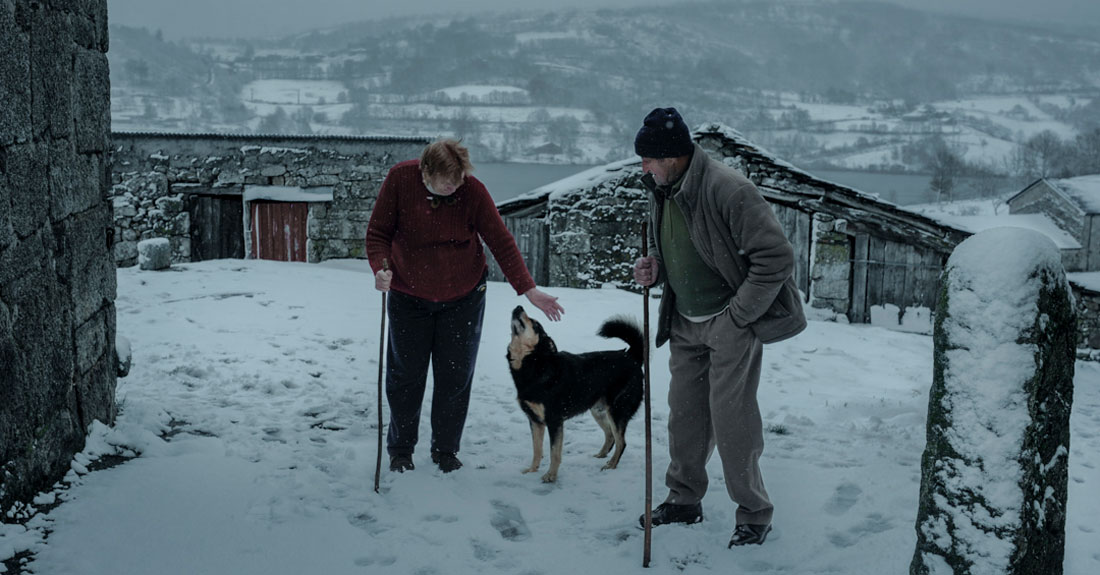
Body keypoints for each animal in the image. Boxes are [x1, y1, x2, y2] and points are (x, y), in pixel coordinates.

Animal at [506, 305, 642, 481]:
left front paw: (550, 476)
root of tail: (631, 356)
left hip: (617, 411)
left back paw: (611, 466)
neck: (535, 364)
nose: (519, 306)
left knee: (621, 442)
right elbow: (537, 450)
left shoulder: (554, 420)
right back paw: (601, 455)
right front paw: (531, 471)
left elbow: (554, 453)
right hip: (598, 410)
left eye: (534, 324)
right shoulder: (535, 421)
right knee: (610, 436)